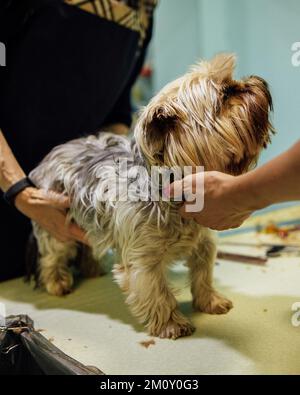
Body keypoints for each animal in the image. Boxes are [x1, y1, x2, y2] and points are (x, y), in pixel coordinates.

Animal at [29, 54, 274, 340]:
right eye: (225, 93)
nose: (258, 81)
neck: (170, 194)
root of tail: (51, 155)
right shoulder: (142, 258)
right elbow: (157, 291)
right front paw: (171, 323)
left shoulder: (204, 242)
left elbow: (203, 274)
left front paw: (210, 301)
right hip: (55, 220)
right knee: (52, 255)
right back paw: (57, 282)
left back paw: (90, 268)